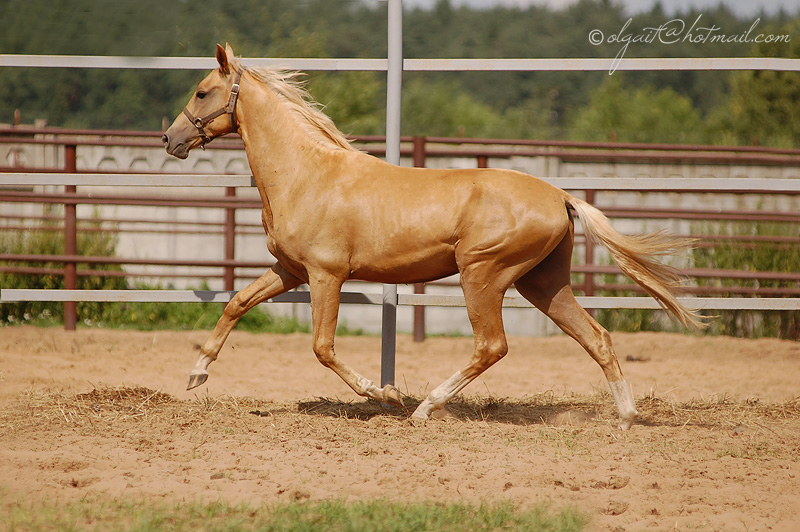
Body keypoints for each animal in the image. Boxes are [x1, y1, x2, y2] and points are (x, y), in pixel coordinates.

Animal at [162, 44, 700, 428]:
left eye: (202, 91)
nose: (169, 139)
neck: (306, 174)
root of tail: (560, 196)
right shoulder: (290, 270)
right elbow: (237, 302)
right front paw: (196, 373)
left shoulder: (326, 275)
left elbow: (322, 347)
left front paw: (385, 395)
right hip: (544, 282)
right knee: (597, 337)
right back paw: (626, 419)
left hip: (483, 275)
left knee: (492, 346)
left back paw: (424, 408)